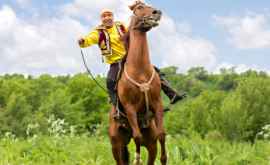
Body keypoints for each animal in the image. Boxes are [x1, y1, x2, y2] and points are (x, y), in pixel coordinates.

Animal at [108, 1, 166, 165]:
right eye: (139, 7)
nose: (156, 12)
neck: (140, 71)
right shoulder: (130, 108)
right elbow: (137, 137)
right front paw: (137, 159)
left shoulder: (157, 103)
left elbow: (161, 134)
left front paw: (164, 158)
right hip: (116, 147)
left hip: (150, 146)